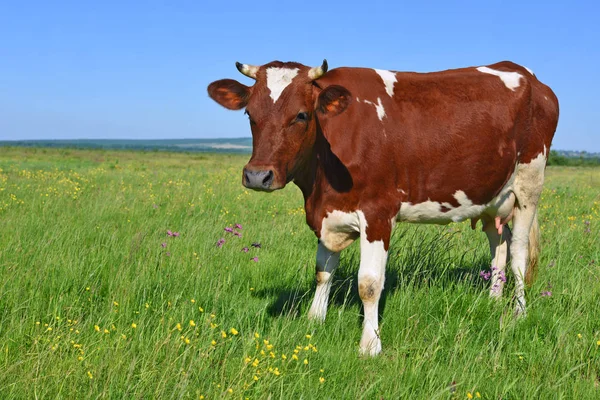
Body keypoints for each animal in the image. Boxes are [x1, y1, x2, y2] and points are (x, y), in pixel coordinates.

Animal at [209, 57, 560, 354]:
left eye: (301, 115)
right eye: (250, 115)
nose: (257, 175)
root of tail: (528, 75)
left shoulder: (378, 213)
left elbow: (369, 283)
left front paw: (370, 345)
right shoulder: (328, 213)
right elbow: (323, 272)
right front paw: (314, 320)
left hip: (529, 184)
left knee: (518, 253)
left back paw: (518, 313)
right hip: (491, 198)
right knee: (498, 247)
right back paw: (493, 300)